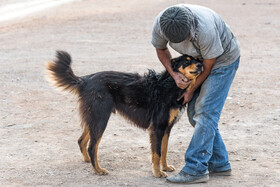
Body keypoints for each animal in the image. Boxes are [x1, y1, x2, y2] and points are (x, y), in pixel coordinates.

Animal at [46, 50, 203, 177]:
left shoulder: (166, 128)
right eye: (187, 61)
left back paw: (88, 162)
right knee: (92, 147)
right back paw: (98, 170)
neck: (171, 84)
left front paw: (165, 167)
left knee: (81, 140)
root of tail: (85, 79)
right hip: (101, 119)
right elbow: (157, 153)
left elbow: (164, 150)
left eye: (196, 59)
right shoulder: (157, 128)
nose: (201, 65)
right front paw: (158, 173)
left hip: (94, 118)